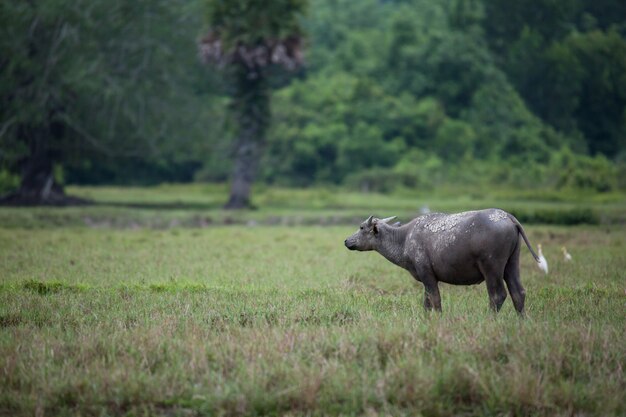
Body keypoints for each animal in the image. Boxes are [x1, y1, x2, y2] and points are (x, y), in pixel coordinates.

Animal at [344, 210, 540, 314]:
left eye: (361, 227)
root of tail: (508, 217)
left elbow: (435, 301)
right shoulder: (426, 280)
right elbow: (427, 303)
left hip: (492, 268)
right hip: (512, 264)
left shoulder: (428, 275)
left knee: (497, 295)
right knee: (518, 293)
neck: (404, 238)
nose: (347, 241)